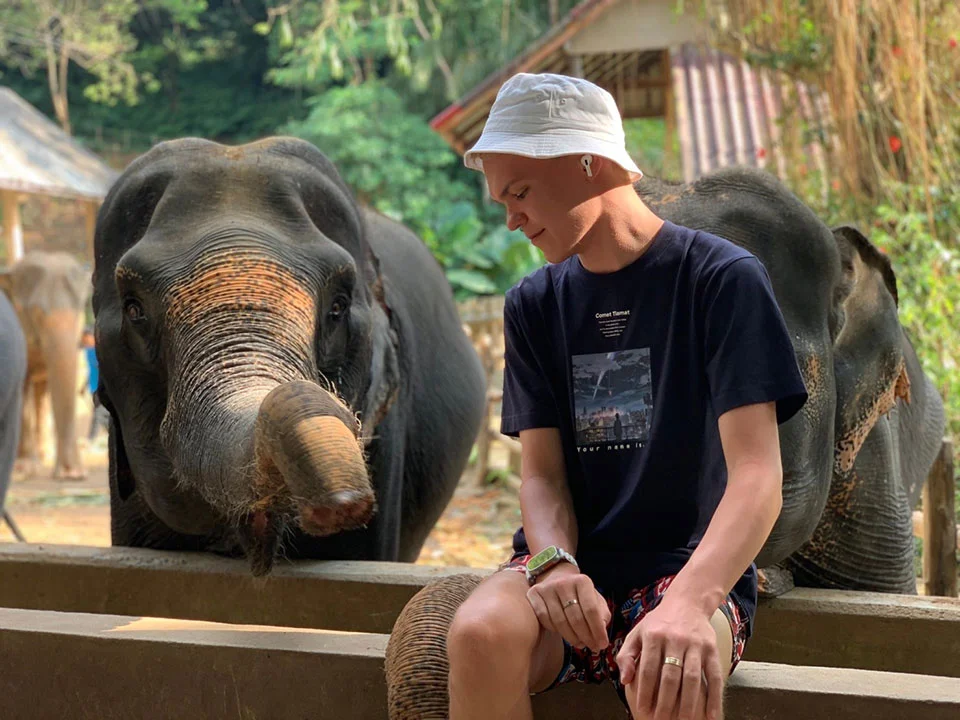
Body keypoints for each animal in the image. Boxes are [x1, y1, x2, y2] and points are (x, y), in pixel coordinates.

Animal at [1, 251, 90, 479]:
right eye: (36, 312)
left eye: (80, 309)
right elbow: (22, 389)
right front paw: (23, 468)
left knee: (42, 393)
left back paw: (44, 455)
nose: (71, 472)